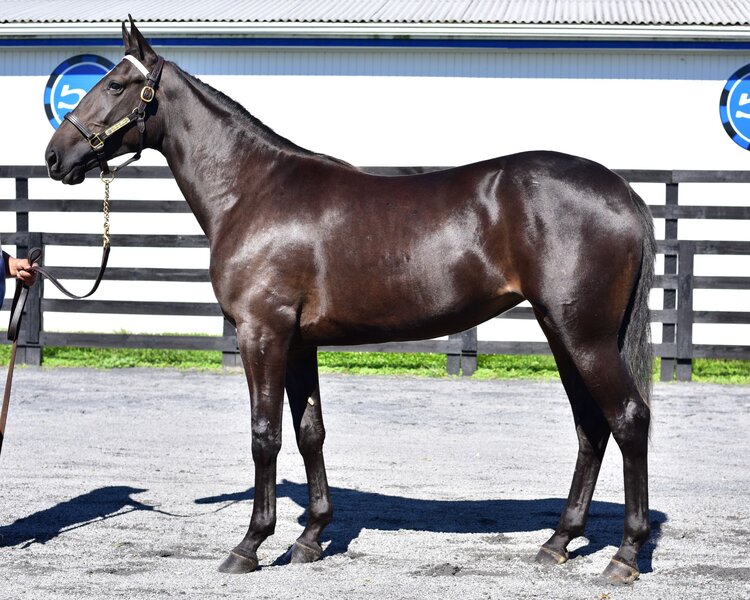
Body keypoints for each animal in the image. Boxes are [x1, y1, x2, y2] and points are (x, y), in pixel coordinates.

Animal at [45, 19, 656, 584]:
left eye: (116, 84)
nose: (54, 156)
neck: (252, 191)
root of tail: (621, 191)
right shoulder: (297, 342)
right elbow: (309, 431)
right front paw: (310, 538)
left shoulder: (262, 333)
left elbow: (264, 435)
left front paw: (250, 545)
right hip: (563, 332)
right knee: (591, 427)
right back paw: (558, 541)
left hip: (584, 336)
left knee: (628, 418)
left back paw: (625, 556)